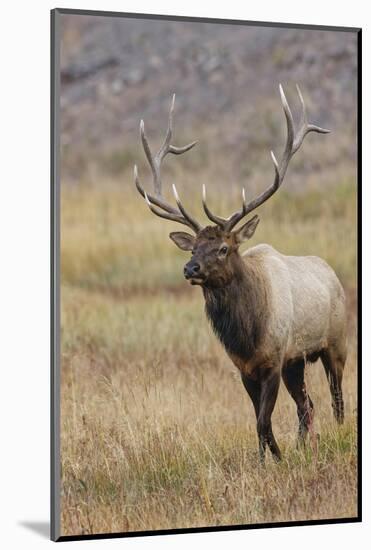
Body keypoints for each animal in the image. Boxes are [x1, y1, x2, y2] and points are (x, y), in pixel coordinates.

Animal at [132, 86, 348, 464]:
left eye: (223, 248)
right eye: (192, 248)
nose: (190, 268)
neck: (247, 334)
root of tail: (333, 275)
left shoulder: (273, 360)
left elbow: (263, 420)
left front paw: (277, 459)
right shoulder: (245, 368)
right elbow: (258, 420)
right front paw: (266, 460)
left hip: (337, 342)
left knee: (337, 399)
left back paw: (336, 434)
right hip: (297, 361)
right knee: (307, 405)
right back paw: (305, 446)